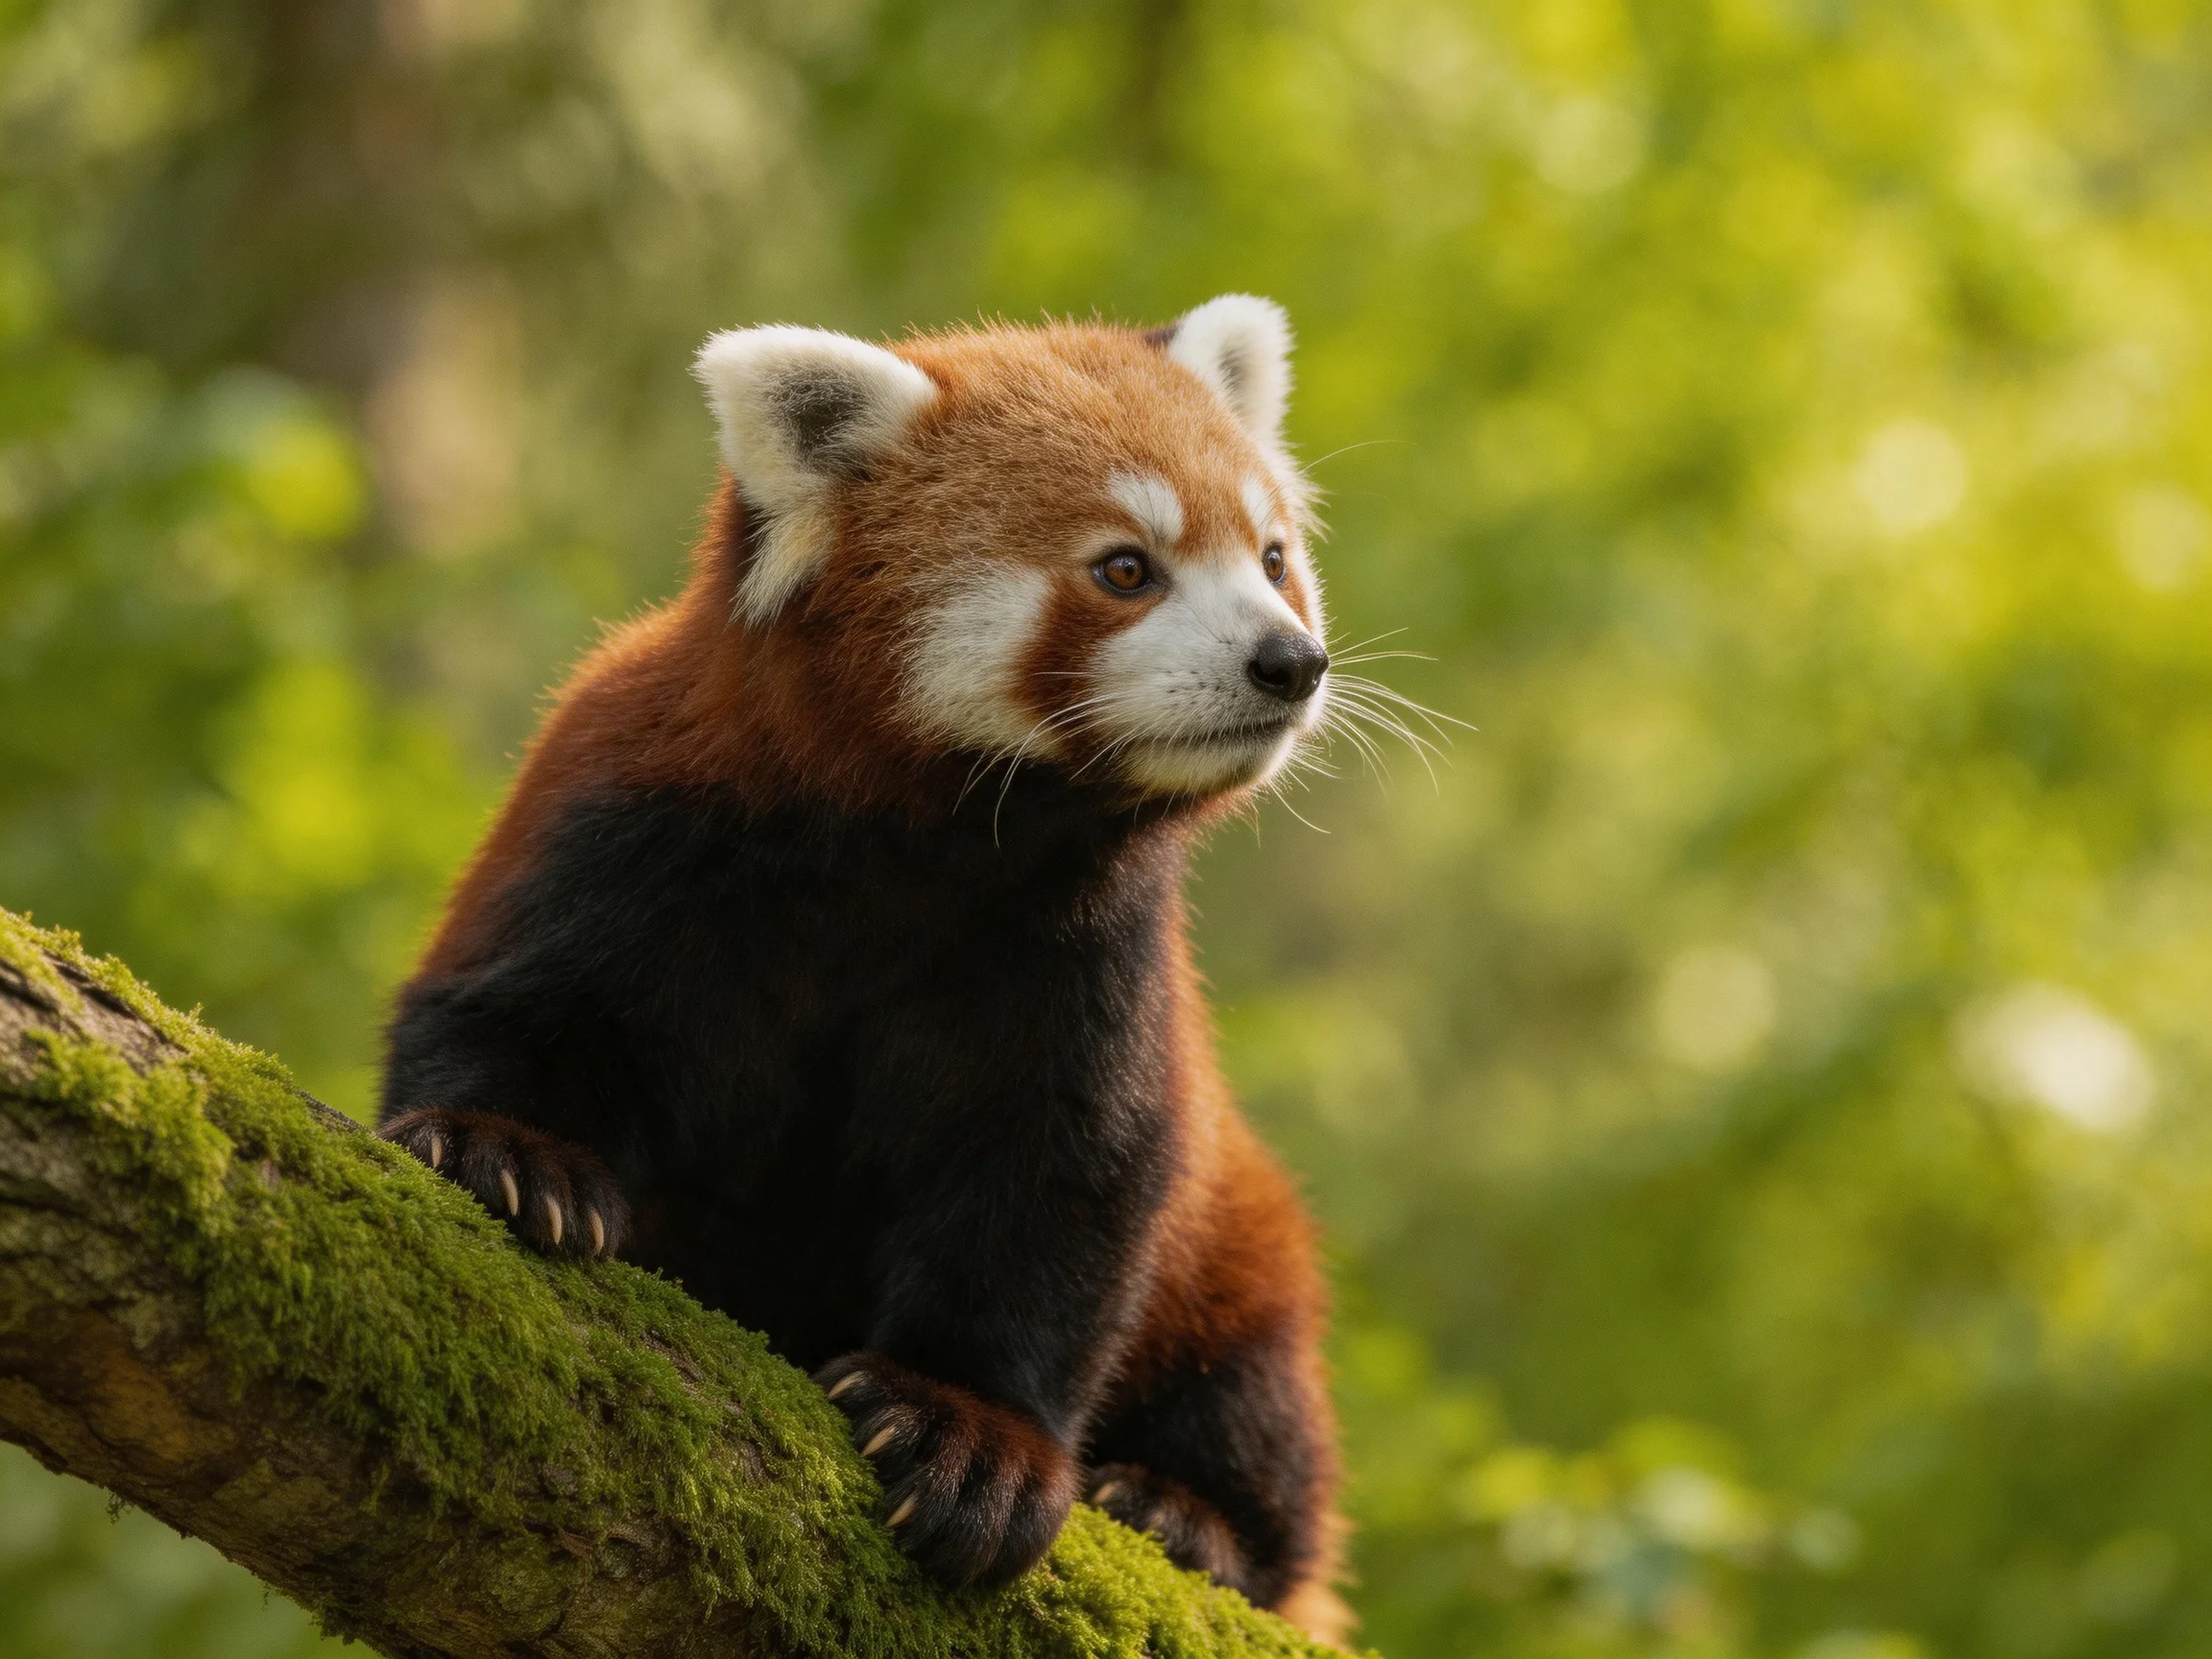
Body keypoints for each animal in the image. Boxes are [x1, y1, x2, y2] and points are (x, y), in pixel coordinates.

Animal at [379, 296, 1350, 1642]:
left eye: (1270, 557)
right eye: (1125, 568)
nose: (1289, 661)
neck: (916, 853)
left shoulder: (1085, 957)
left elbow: (1062, 1184)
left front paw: (970, 1430)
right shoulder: (626, 826)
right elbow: (510, 1007)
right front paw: (505, 1150)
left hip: (1247, 1257)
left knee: (1261, 1412)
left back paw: (1186, 1512)